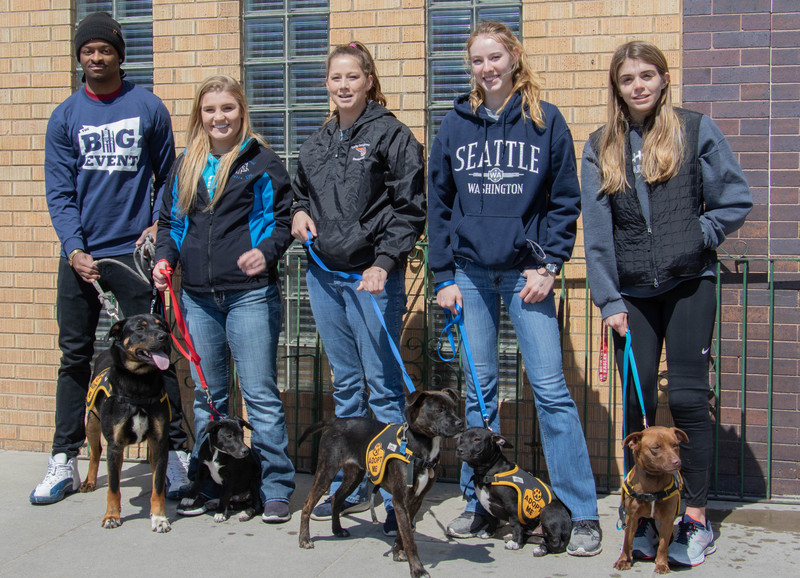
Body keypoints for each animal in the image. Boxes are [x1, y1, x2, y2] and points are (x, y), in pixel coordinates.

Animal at [79, 316, 173, 532]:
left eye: (163, 326)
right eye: (140, 328)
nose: (165, 337)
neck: (140, 383)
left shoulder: (159, 442)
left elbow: (157, 484)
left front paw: (159, 518)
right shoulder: (115, 446)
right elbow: (113, 487)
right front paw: (111, 516)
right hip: (91, 421)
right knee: (95, 453)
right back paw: (89, 481)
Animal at [298, 388, 462, 576]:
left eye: (454, 408)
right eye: (439, 410)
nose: (460, 423)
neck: (420, 447)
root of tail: (335, 421)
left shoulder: (415, 500)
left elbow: (402, 532)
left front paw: (397, 552)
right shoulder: (401, 501)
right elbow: (409, 539)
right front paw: (418, 569)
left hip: (354, 474)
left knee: (336, 498)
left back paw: (337, 529)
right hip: (327, 470)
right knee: (307, 503)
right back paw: (304, 539)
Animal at [612, 424, 688, 572]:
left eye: (675, 445)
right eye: (656, 447)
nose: (677, 462)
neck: (654, 480)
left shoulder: (667, 519)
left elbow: (663, 545)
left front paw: (662, 564)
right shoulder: (631, 517)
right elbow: (627, 541)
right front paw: (624, 560)